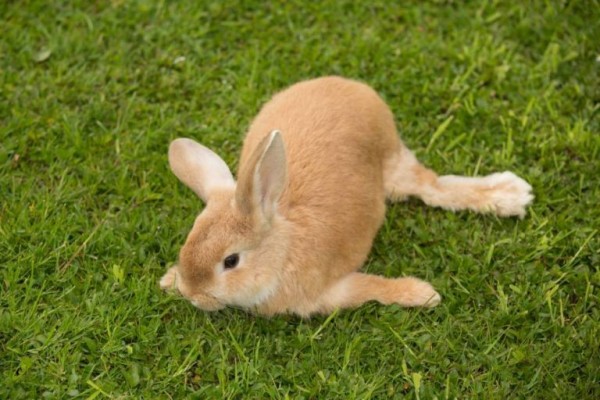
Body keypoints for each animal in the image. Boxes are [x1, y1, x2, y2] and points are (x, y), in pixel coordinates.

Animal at [159, 76, 536, 316]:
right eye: (189, 241)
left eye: (231, 261)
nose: (194, 296)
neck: (284, 249)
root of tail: (356, 89)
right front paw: (170, 281)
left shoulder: (332, 291)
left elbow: (372, 289)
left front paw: (423, 295)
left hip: (393, 167)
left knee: (430, 188)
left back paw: (512, 195)